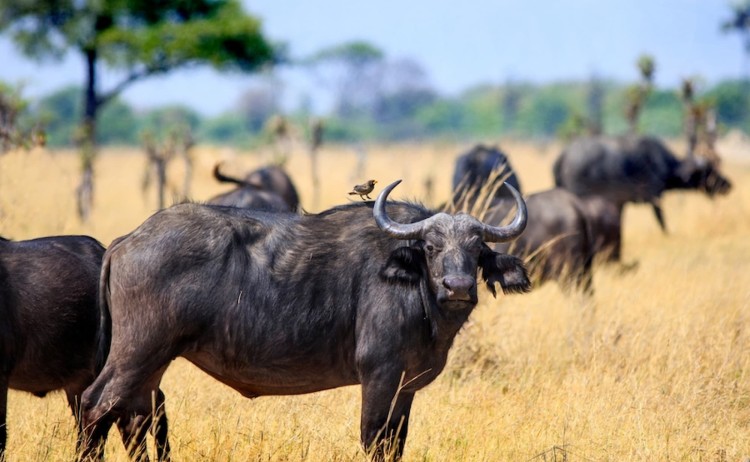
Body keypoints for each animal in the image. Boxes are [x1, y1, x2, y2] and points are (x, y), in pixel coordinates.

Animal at [80, 180, 530, 461]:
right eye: (432, 247)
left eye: (477, 249)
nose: (458, 287)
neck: (417, 289)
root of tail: (128, 240)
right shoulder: (380, 375)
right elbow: (374, 441)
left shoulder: (406, 387)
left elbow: (396, 445)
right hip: (138, 350)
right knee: (95, 404)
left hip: (153, 362)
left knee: (136, 417)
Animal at [553, 135, 732, 261]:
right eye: (709, 170)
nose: (728, 184)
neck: (664, 165)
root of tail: (563, 156)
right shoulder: (655, 197)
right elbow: (661, 218)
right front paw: (668, 234)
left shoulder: (620, 203)